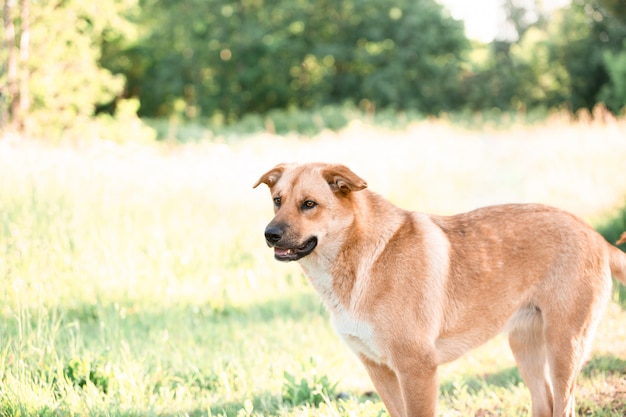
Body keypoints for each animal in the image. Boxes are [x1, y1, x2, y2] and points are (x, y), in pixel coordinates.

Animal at [252, 161, 624, 414]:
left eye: (309, 204)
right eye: (277, 200)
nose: (270, 234)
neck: (361, 262)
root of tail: (595, 236)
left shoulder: (417, 369)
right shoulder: (379, 369)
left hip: (564, 348)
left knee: (564, 405)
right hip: (524, 345)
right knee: (543, 403)